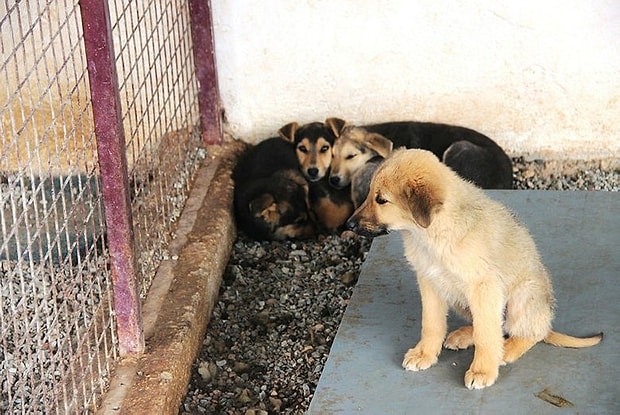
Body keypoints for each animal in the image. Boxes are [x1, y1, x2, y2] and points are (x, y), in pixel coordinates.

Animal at [346, 150, 604, 390]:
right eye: (371, 194)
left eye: (381, 200)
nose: (348, 225)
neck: (432, 234)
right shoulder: (430, 281)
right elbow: (431, 324)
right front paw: (424, 354)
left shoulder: (484, 287)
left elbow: (486, 334)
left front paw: (482, 371)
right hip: (459, 298)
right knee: (496, 325)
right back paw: (464, 335)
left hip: (522, 296)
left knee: (529, 331)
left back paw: (507, 349)